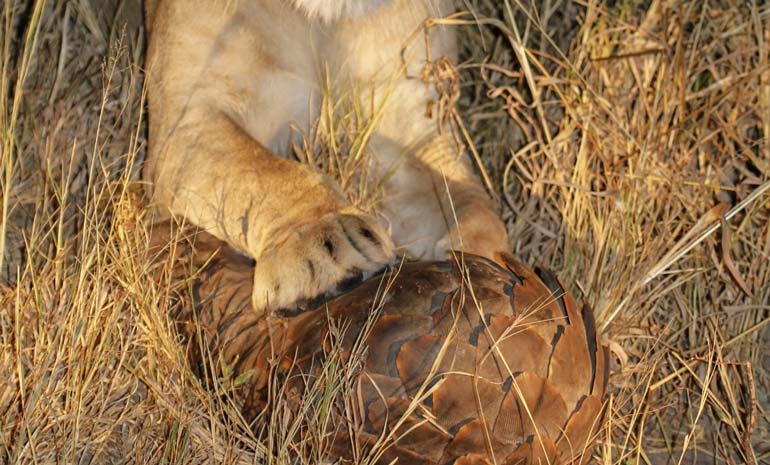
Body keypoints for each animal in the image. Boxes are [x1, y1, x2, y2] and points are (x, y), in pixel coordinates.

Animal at [143, 0, 508, 314]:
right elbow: (264, 171)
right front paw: (324, 238)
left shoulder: (413, 129)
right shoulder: (186, 120)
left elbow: (472, 202)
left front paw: (486, 273)